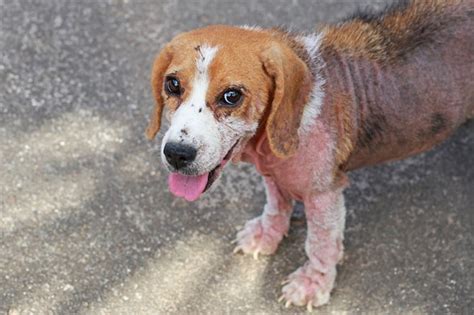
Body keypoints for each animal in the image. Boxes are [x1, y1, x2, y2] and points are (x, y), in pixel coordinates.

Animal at [146, 0, 472, 312]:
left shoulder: (324, 194)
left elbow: (320, 244)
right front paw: (268, 234)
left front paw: (313, 283)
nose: (177, 154)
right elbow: (276, 205)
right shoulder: (274, 172)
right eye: (173, 84)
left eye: (231, 96)